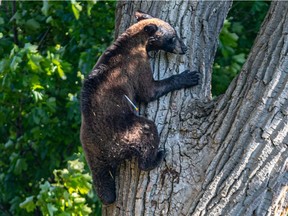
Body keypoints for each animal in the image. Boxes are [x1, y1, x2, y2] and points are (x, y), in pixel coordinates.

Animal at [80, 11, 199, 204]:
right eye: (173, 37)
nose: (185, 48)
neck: (137, 42)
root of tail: (104, 151)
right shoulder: (136, 65)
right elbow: (149, 90)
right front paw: (189, 76)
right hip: (127, 131)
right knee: (147, 132)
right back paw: (156, 156)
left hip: (92, 154)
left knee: (102, 182)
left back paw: (107, 195)